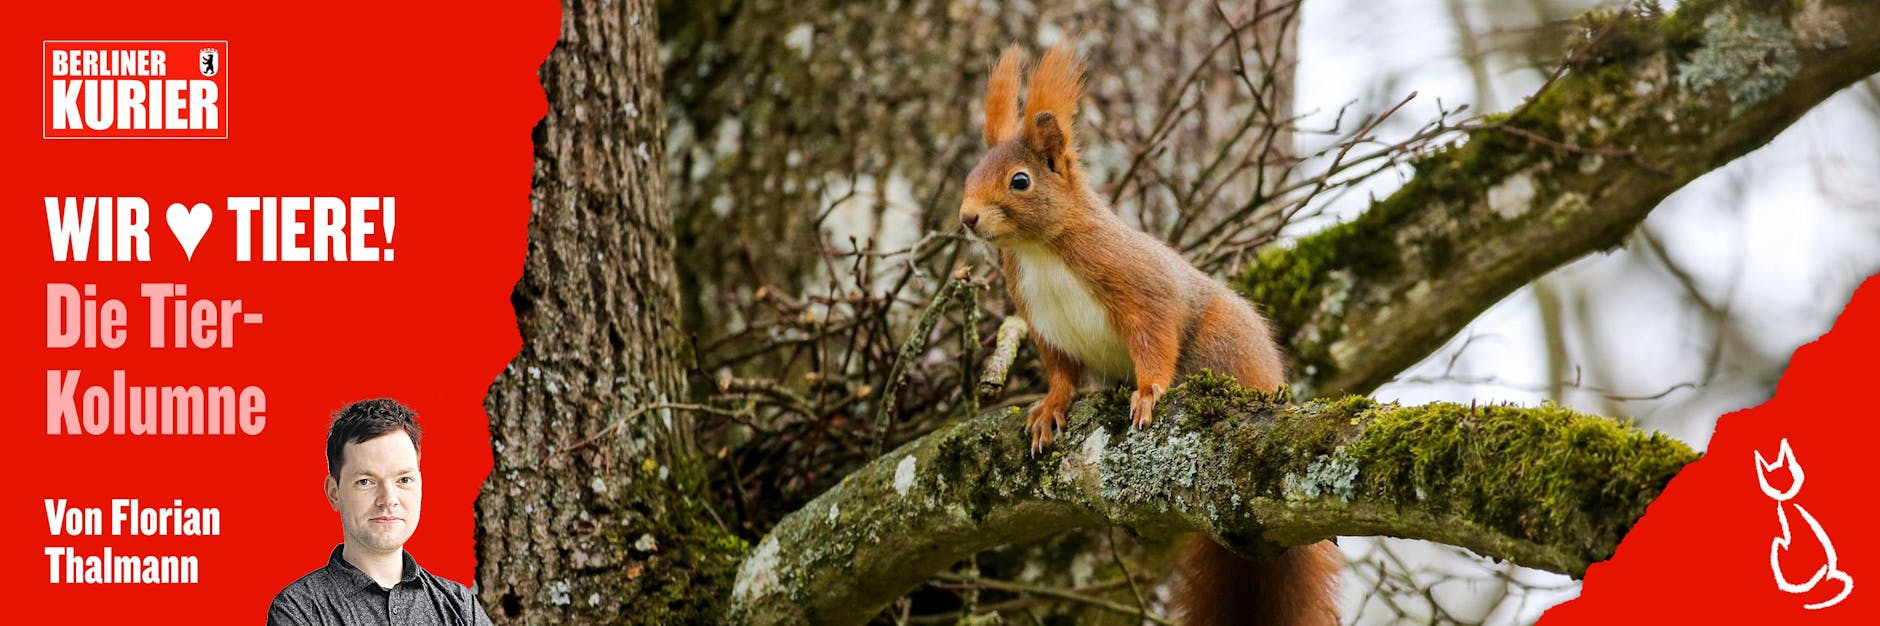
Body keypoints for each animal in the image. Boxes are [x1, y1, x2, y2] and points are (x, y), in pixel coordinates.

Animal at [959, 42, 1341, 625]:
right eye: (971, 173)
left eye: (1019, 180)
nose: (967, 218)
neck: (1040, 250)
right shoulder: (1043, 325)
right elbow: (1061, 374)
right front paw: (1050, 409)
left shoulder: (1140, 289)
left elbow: (1155, 336)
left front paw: (1149, 392)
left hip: (1222, 346)